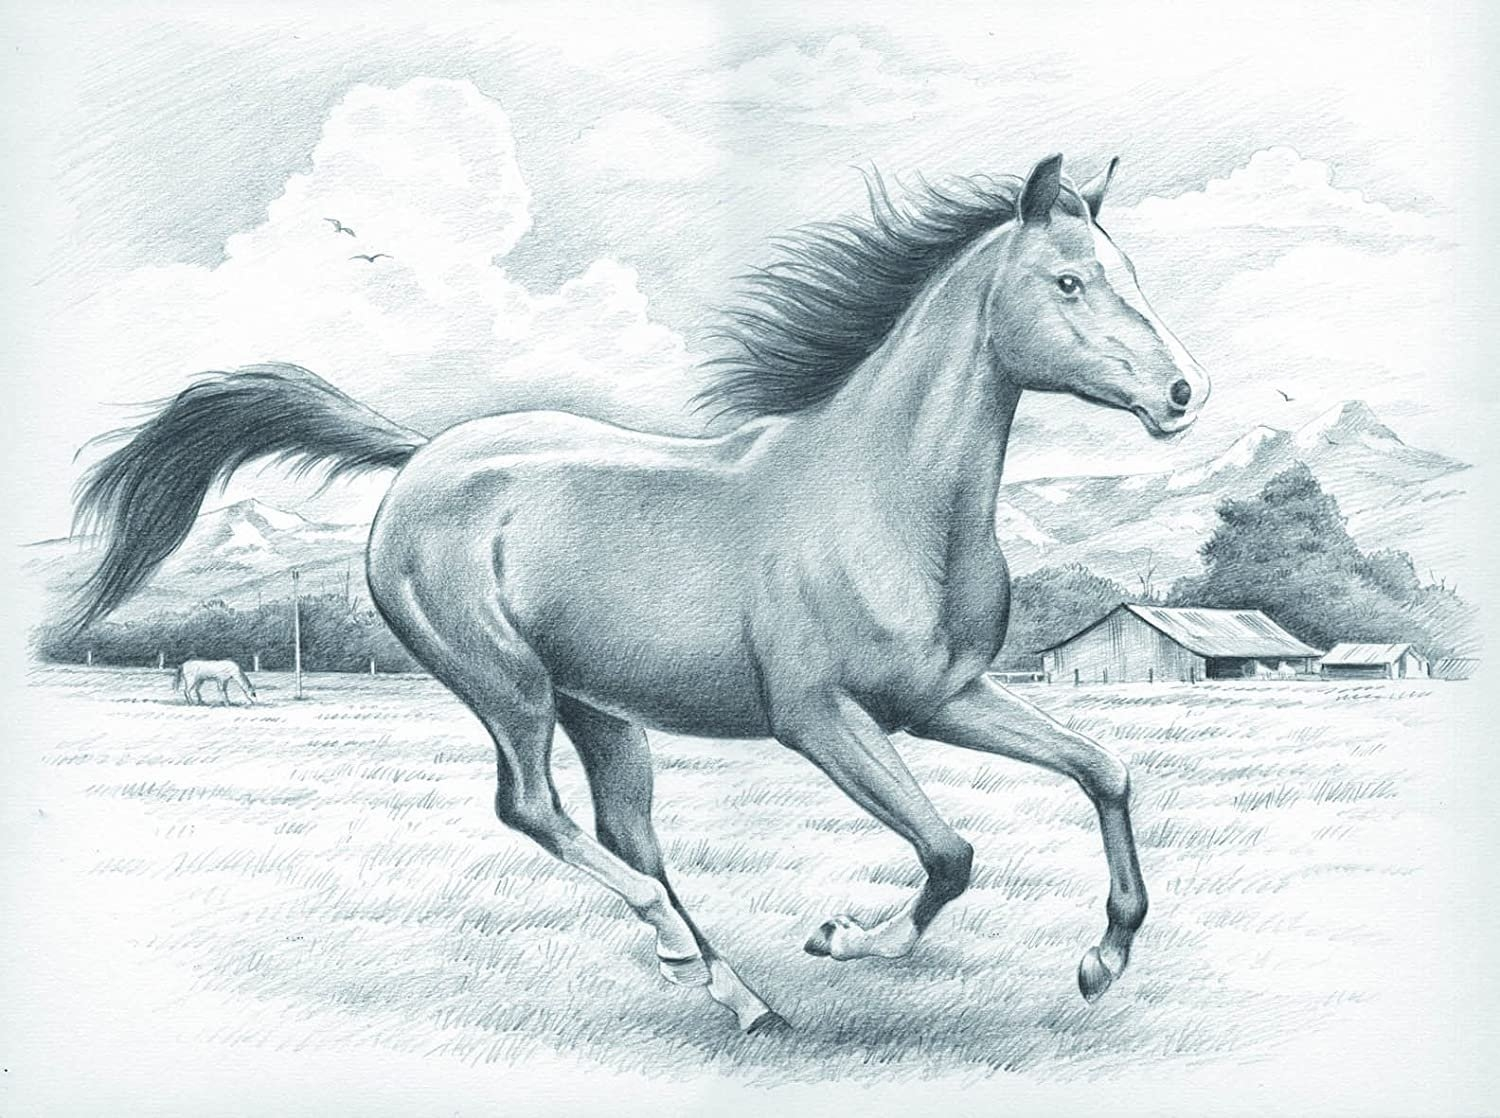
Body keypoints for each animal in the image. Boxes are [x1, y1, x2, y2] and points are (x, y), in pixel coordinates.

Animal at [69, 154, 1208, 1035]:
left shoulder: (944, 699)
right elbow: (950, 849)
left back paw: (742, 998)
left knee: (629, 832)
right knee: (532, 807)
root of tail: (425, 456)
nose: (1184, 392)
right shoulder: (821, 719)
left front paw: (1102, 960)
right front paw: (844, 936)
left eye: (1129, 274)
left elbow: (1104, 770)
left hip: (601, 708)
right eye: (1070, 282)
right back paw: (679, 945)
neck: (881, 494)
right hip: (508, 686)